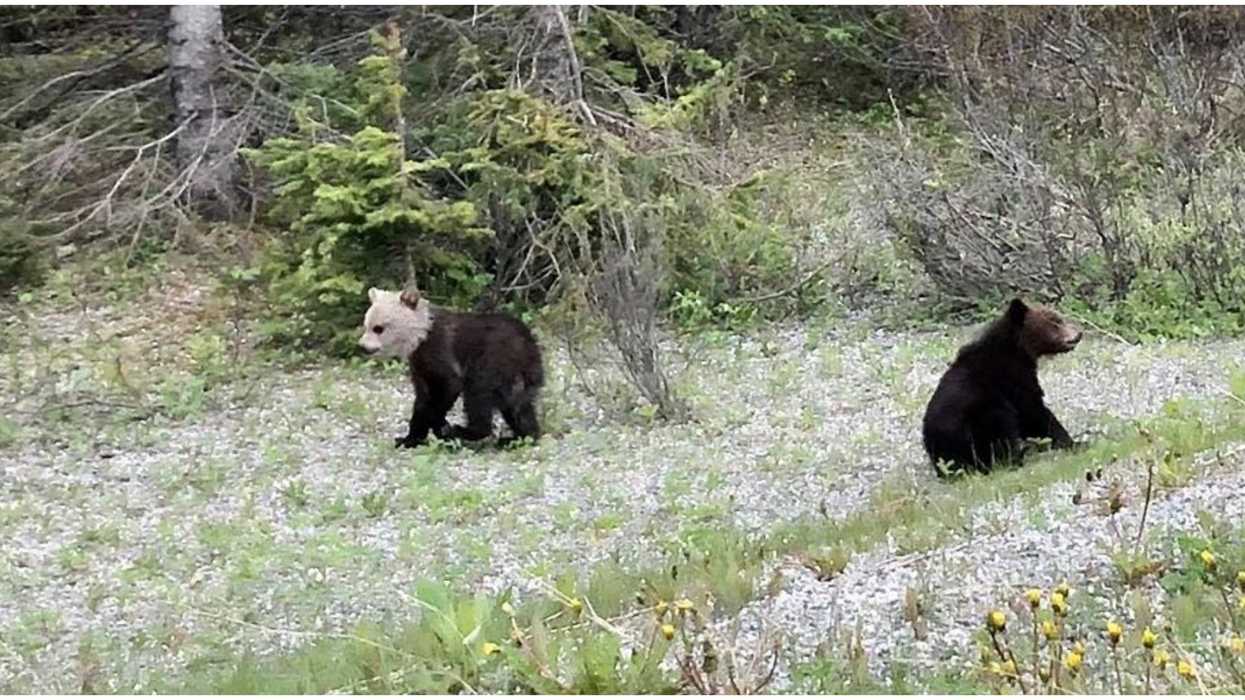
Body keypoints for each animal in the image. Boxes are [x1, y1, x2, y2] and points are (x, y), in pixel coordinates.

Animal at [357, 285, 545, 449]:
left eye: (379, 328)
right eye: (366, 325)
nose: (363, 347)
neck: (420, 336)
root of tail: (530, 347)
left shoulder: (440, 349)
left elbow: (449, 384)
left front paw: (441, 426)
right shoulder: (419, 364)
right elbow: (422, 398)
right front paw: (409, 439)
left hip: (493, 360)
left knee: (478, 393)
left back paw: (463, 430)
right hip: (519, 375)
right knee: (518, 408)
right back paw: (519, 438)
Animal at [921, 298, 1083, 476]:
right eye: (1055, 321)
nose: (1078, 334)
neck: (1018, 350)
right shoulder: (1011, 378)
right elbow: (1033, 412)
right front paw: (1073, 442)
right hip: (980, 417)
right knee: (1001, 428)